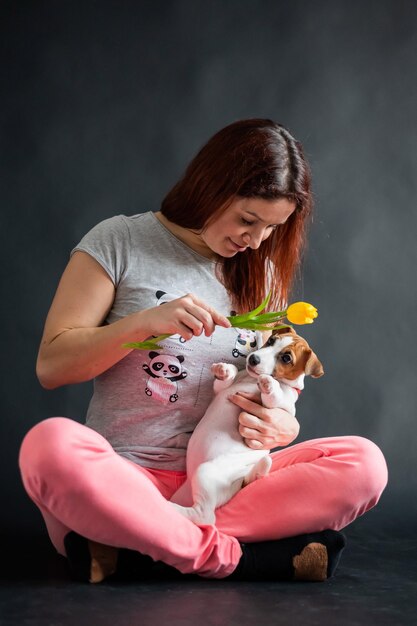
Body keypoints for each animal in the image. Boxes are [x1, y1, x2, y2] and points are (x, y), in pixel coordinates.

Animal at [169, 324, 322, 524]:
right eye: (271, 341)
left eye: (286, 358)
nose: (254, 358)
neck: (251, 380)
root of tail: (240, 482)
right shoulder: (220, 390)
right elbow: (226, 379)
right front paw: (225, 370)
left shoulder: (280, 407)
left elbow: (275, 395)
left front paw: (269, 383)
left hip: (205, 472)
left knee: (205, 517)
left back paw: (171, 508)